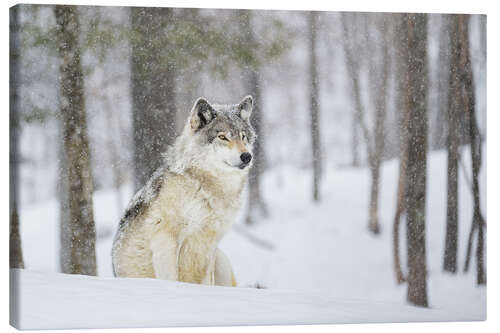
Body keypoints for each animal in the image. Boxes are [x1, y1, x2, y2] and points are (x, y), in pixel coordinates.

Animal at [112, 94, 256, 286]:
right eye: (222, 137)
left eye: (243, 136)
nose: (247, 156)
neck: (207, 188)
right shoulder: (166, 238)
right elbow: (172, 278)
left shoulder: (209, 245)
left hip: (221, 259)